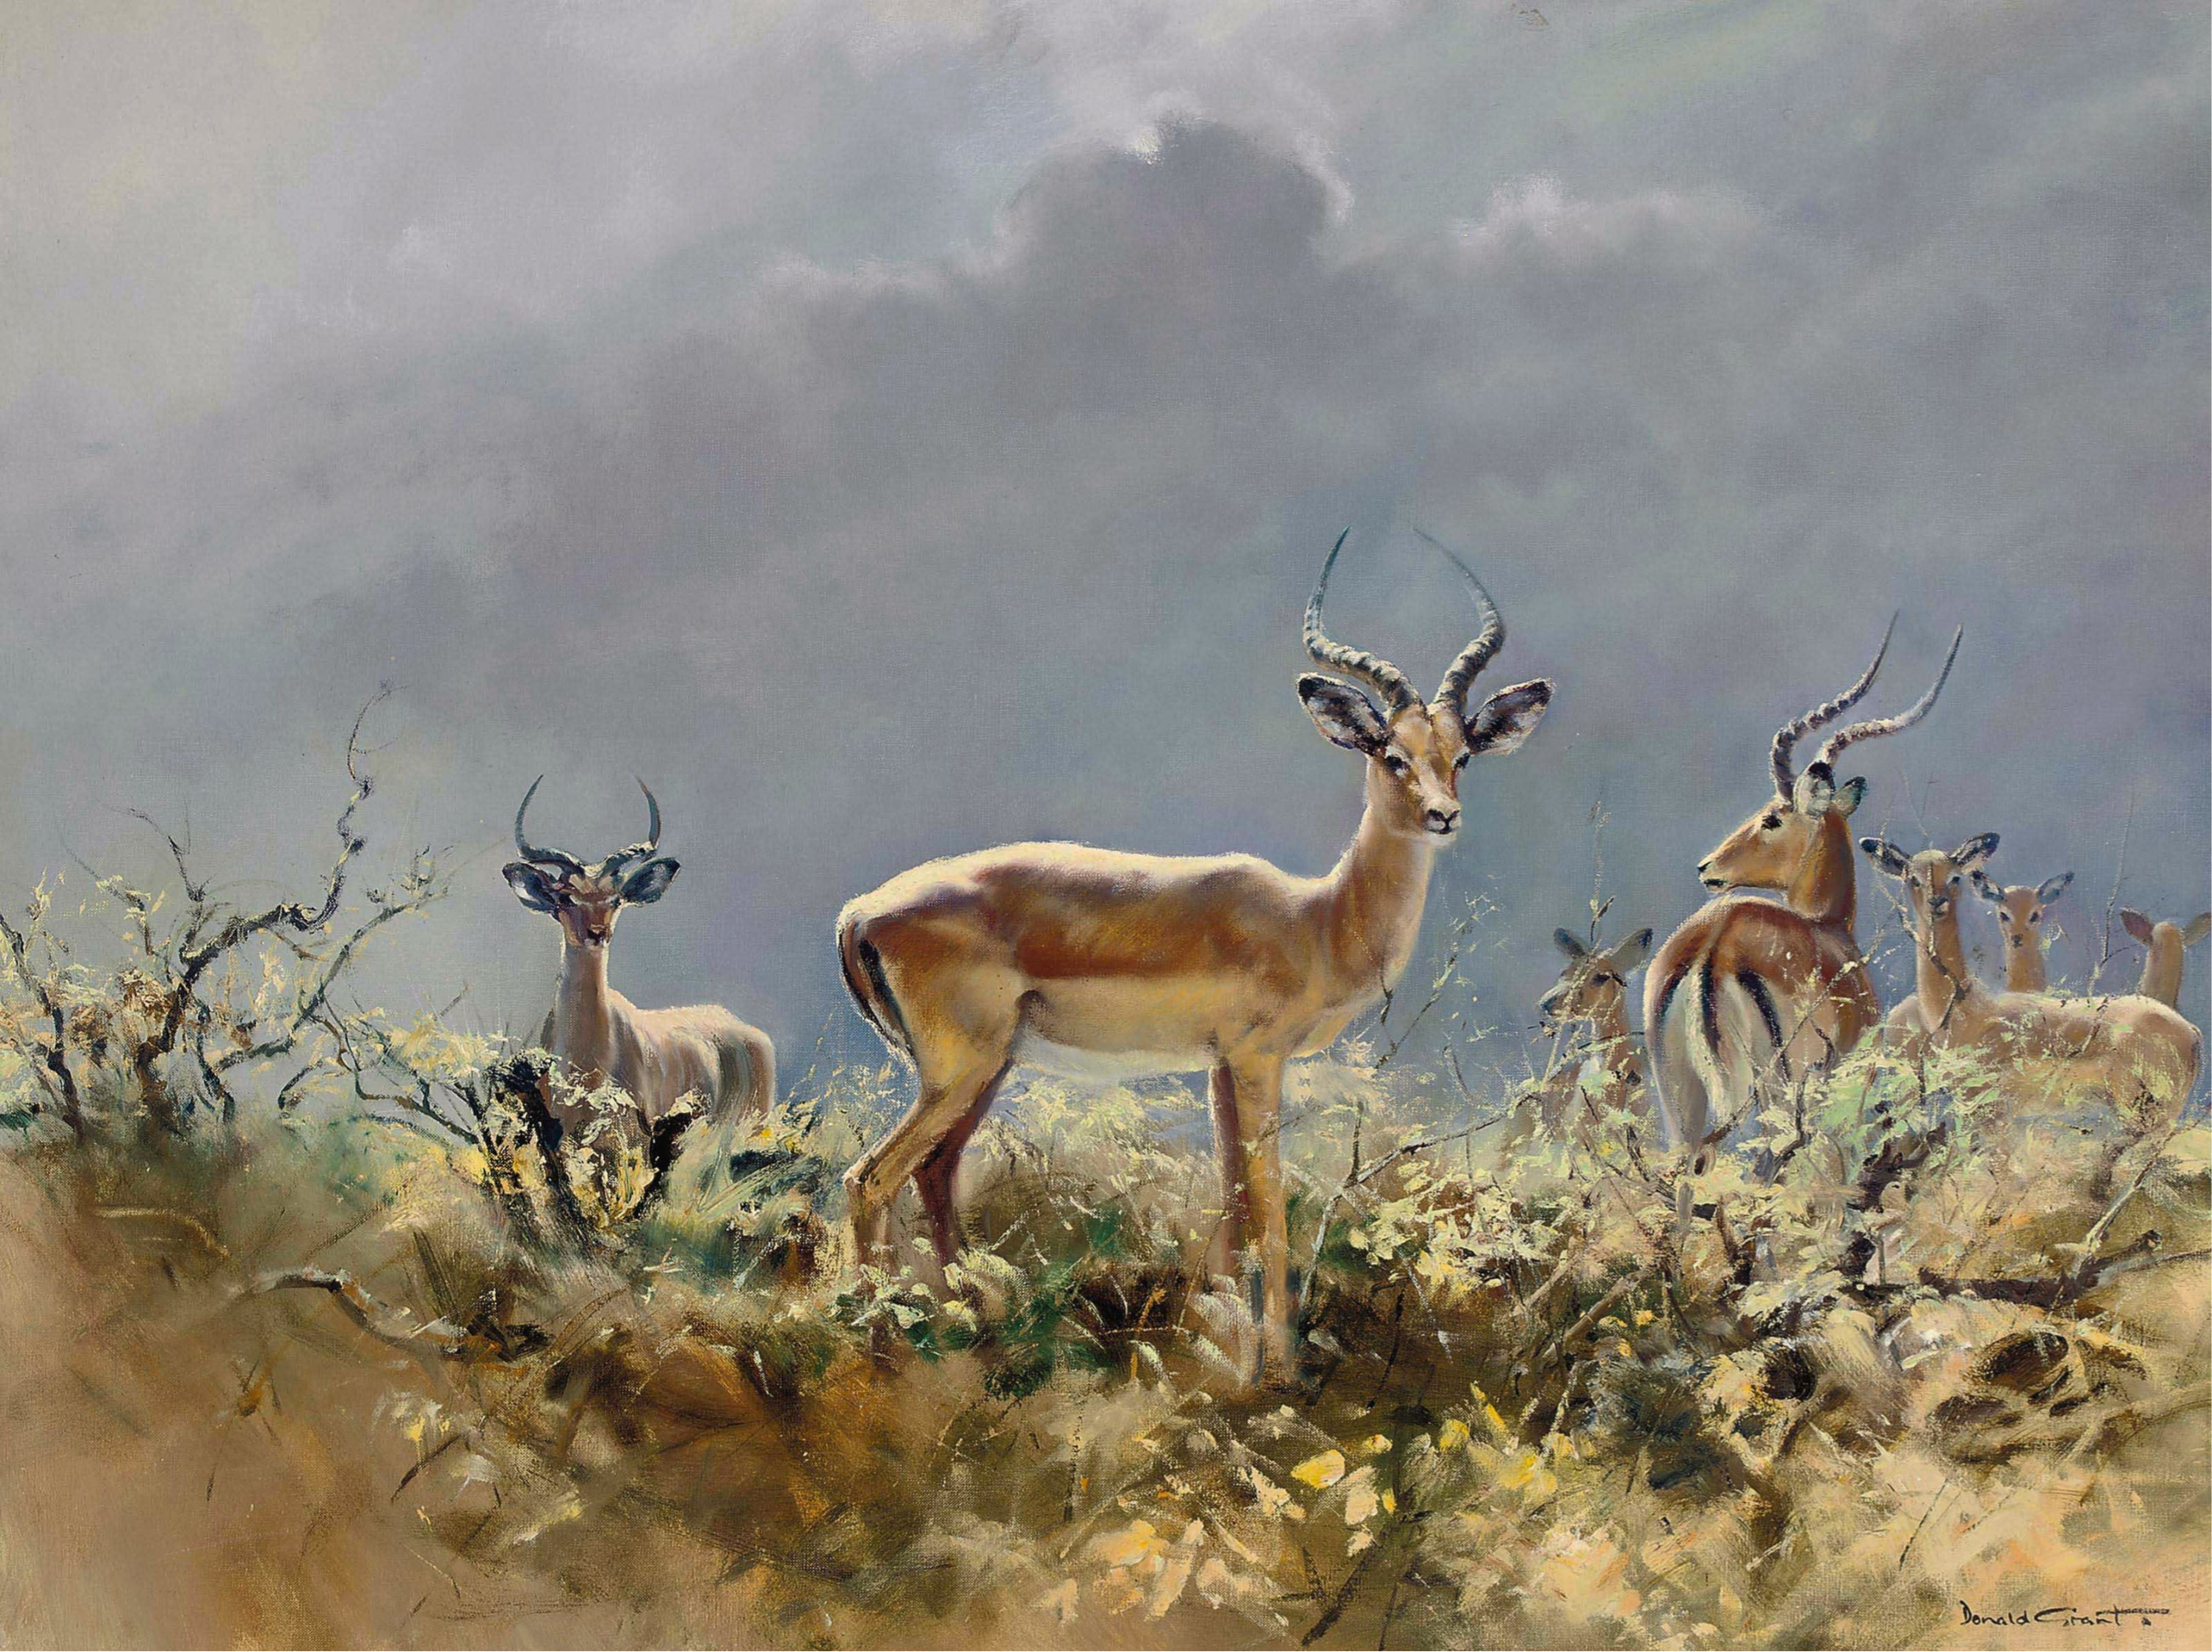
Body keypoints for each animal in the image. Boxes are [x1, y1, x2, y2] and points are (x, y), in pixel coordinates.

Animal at [835, 531, 1554, 1382]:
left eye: (1460, 755)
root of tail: (861, 910)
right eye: (1389, 753)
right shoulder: (1255, 1059)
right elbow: (1270, 1217)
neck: (1315, 921)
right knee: (869, 1178)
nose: (1443, 816)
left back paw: (974, 1328)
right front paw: (1280, 1375)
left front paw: (1243, 1364)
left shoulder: (1216, 1068)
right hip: (960, 1068)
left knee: (935, 1172)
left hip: (986, 1067)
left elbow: (1234, 1214)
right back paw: (882, 1353)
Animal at [1645, 620, 1961, 1167]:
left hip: (1681, 1099)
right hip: (1776, 1088)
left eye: (1772, 818)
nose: (1708, 867)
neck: (1827, 929)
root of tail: (1712, 947)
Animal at [1860, 835, 2200, 1122]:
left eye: (1955, 877)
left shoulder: (1988, 1107)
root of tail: (2191, 1031)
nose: (1937, 902)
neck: (1966, 1008)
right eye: (1912, 879)